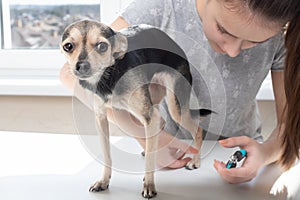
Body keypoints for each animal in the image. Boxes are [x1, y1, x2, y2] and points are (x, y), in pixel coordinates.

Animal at [59, 19, 207, 198]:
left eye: (102, 46)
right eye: (68, 46)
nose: (81, 65)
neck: (110, 74)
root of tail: (175, 45)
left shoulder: (149, 117)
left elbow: (150, 160)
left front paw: (149, 185)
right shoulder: (101, 118)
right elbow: (107, 155)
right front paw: (104, 181)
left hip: (175, 108)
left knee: (197, 130)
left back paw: (195, 161)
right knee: (161, 122)